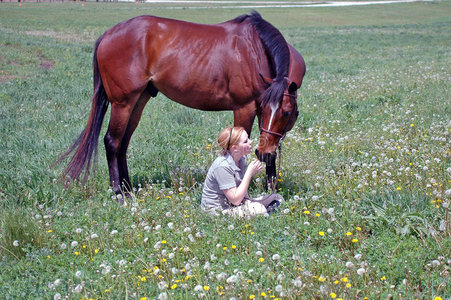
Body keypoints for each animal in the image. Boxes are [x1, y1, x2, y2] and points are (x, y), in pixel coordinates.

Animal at [55, 10, 304, 202]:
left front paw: (270, 188)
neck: (253, 50)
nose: (262, 153)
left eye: (286, 112)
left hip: (139, 101)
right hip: (122, 103)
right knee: (112, 142)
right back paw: (119, 193)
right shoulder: (244, 108)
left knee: (123, 142)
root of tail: (107, 35)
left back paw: (128, 188)